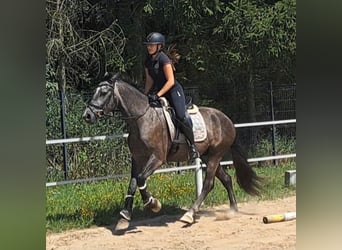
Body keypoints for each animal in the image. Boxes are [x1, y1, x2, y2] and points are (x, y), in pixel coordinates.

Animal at [83, 72, 262, 232]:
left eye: (103, 92)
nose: (87, 115)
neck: (142, 119)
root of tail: (227, 119)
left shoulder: (157, 158)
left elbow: (140, 179)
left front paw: (153, 204)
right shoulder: (137, 158)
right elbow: (133, 183)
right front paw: (124, 217)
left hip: (215, 156)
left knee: (208, 184)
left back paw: (190, 214)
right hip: (208, 156)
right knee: (226, 179)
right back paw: (233, 210)